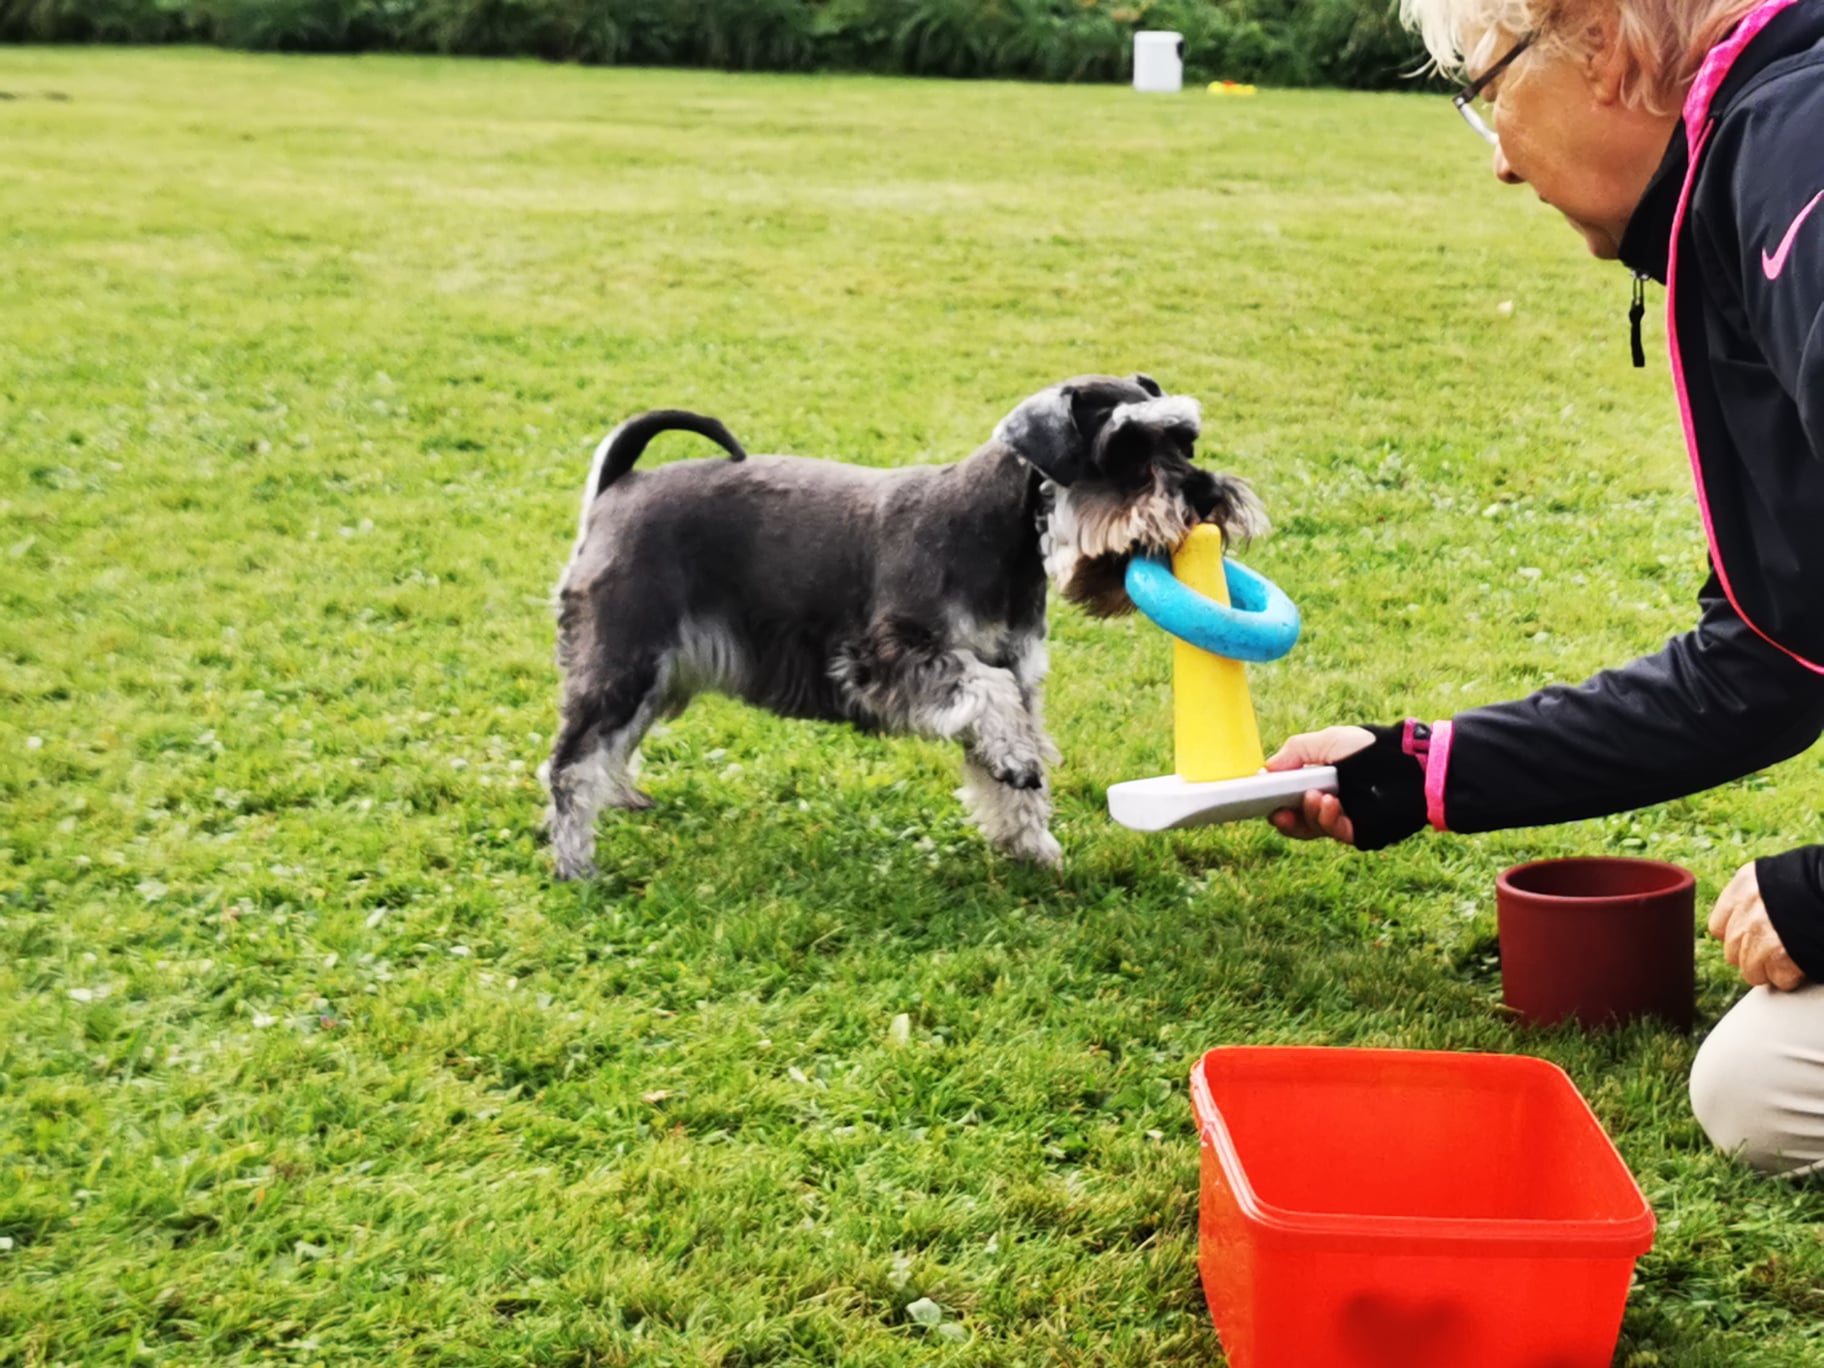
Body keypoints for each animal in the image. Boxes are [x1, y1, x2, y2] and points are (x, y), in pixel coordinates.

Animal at [539, 375, 1269, 882]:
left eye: (1185, 440)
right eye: (1121, 449)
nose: (1206, 495)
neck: (1002, 537)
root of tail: (620, 485)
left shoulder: (1014, 673)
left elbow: (1005, 766)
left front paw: (1034, 849)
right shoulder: (888, 658)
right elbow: (990, 703)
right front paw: (1021, 774)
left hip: (652, 675)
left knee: (611, 749)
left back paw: (622, 802)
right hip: (622, 659)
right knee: (572, 764)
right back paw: (577, 864)